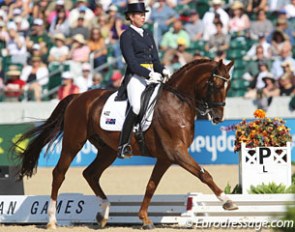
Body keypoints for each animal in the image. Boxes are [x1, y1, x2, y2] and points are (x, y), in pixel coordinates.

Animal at [15, 59, 239, 229]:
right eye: (215, 85)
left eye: (228, 86)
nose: (218, 117)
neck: (177, 103)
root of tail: (78, 97)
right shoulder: (176, 152)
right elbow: (204, 174)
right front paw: (227, 201)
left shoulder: (166, 157)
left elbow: (151, 185)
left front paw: (145, 219)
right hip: (73, 142)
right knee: (59, 173)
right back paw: (52, 220)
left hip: (107, 150)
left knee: (91, 174)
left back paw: (103, 214)